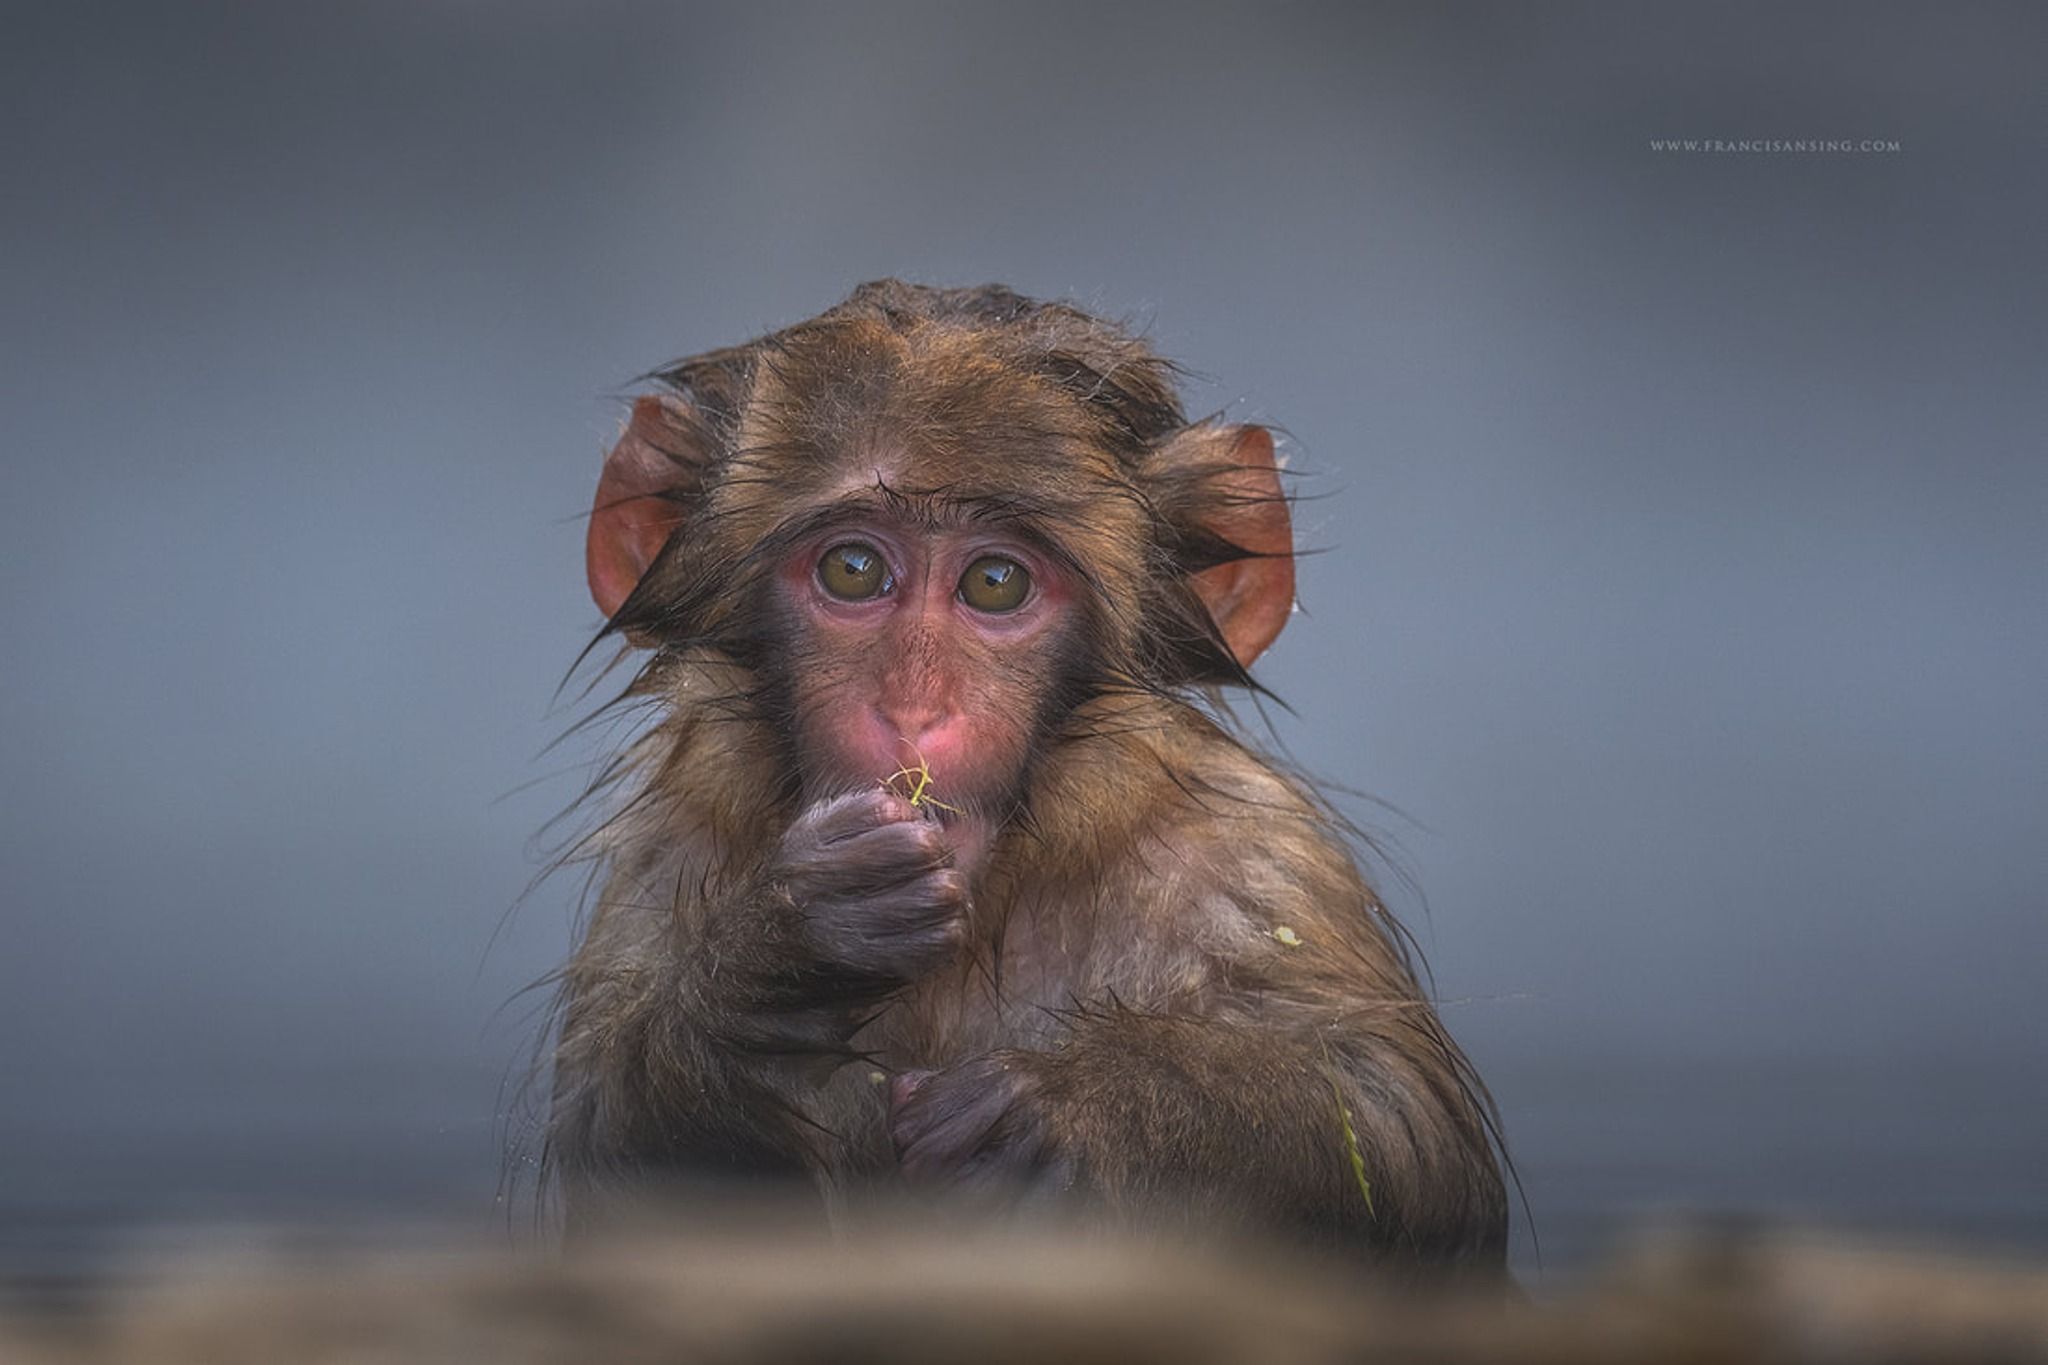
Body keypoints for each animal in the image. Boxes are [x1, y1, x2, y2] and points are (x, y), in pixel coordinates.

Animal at [544, 280, 1508, 1270]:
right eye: (853, 569)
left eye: (996, 582)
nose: (915, 709)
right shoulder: (668, 856)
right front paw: (785, 950)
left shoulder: (1253, 859)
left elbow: (1400, 1125)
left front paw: (1062, 1113)